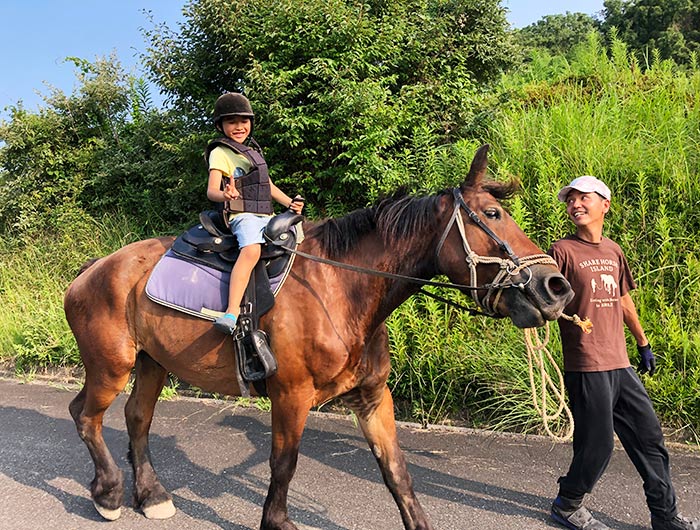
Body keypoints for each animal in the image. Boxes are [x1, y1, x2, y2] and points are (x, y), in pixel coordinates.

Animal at [63, 144, 572, 528]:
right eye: (493, 213)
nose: (556, 287)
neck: (342, 287)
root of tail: (94, 269)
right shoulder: (291, 394)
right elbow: (283, 464)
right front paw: (276, 521)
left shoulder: (372, 398)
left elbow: (398, 473)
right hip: (112, 365)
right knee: (86, 415)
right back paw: (108, 494)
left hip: (153, 362)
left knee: (137, 418)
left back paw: (151, 495)